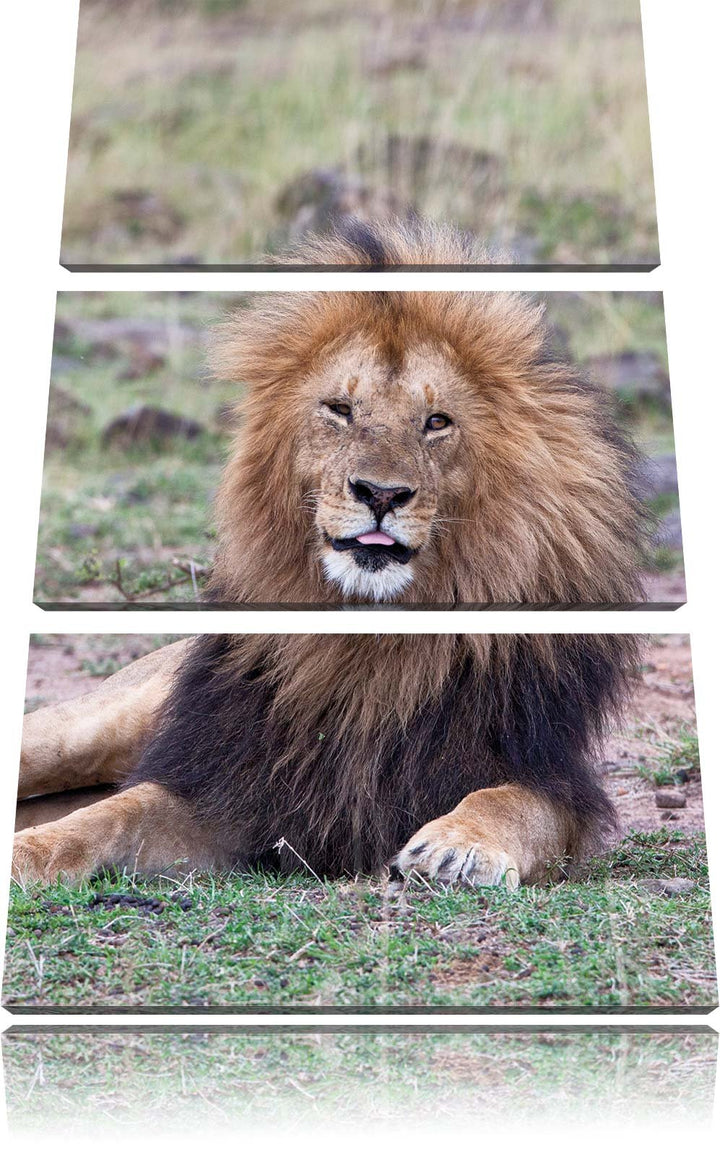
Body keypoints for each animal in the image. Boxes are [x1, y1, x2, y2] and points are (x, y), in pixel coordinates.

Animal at [13, 219, 648, 886]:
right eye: (340, 410)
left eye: (437, 421)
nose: (381, 493)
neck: (366, 644)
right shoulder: (234, 780)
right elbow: (108, 816)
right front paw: (26, 854)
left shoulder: (551, 774)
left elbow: (513, 802)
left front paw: (459, 845)